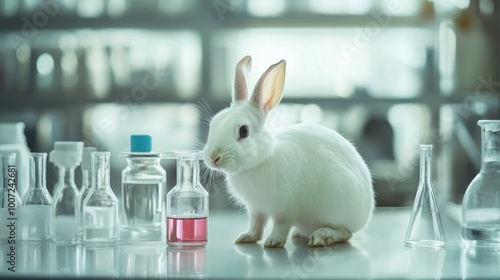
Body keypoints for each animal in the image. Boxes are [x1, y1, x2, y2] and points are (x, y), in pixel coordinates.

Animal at [203, 55, 376, 247]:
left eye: (244, 131)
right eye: (214, 123)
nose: (213, 157)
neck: (260, 162)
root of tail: (366, 213)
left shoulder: (286, 208)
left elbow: (281, 225)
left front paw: (273, 241)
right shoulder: (257, 208)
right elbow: (256, 224)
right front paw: (246, 237)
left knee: (346, 232)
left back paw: (322, 236)